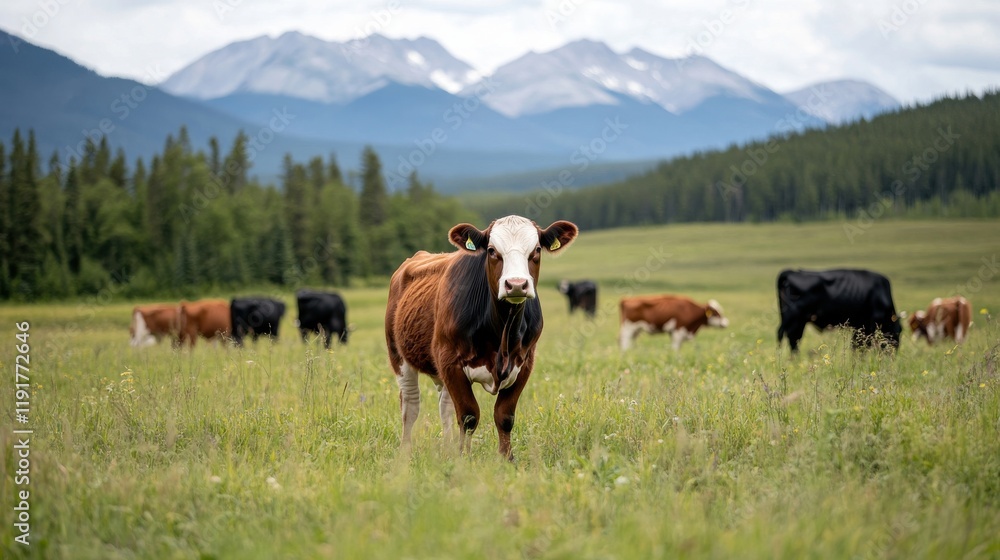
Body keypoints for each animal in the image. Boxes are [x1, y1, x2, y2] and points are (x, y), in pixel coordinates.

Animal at [385, 215, 578, 460]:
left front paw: (506, 458)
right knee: (410, 406)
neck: (503, 330)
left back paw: (447, 448)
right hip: (399, 356)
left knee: (445, 406)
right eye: (492, 250)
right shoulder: (449, 359)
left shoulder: (525, 362)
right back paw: (405, 453)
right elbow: (468, 415)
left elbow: (504, 415)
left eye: (536, 250)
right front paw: (463, 458)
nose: (516, 284)